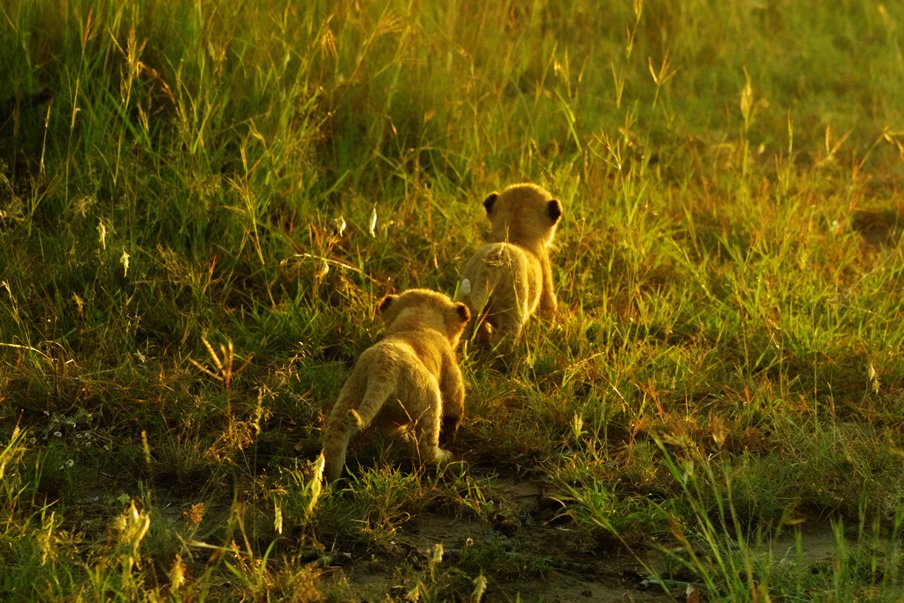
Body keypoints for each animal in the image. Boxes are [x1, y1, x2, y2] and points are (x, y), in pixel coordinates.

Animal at [321, 289, 470, 482]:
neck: (416, 321)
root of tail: (382, 372)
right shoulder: (450, 370)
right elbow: (454, 407)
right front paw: (450, 437)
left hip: (351, 396)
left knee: (336, 439)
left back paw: (330, 479)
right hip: (430, 398)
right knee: (426, 447)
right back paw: (447, 458)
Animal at [457, 183, 562, 348]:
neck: (515, 231)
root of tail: (491, 265)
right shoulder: (546, 283)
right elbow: (548, 312)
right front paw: (552, 333)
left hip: (468, 304)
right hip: (513, 309)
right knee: (504, 341)